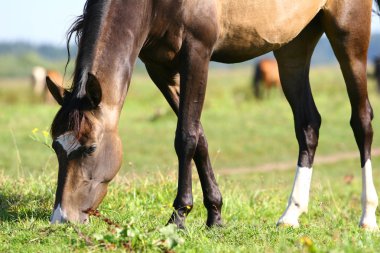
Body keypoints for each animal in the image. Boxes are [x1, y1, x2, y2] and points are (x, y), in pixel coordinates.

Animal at [47, 0, 380, 230]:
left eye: (90, 148)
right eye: (56, 148)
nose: (62, 217)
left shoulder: (197, 53)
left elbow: (185, 137)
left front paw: (179, 217)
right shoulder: (160, 69)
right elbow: (200, 139)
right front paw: (215, 216)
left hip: (349, 33)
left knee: (361, 120)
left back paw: (367, 217)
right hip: (293, 47)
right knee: (308, 125)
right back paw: (291, 214)